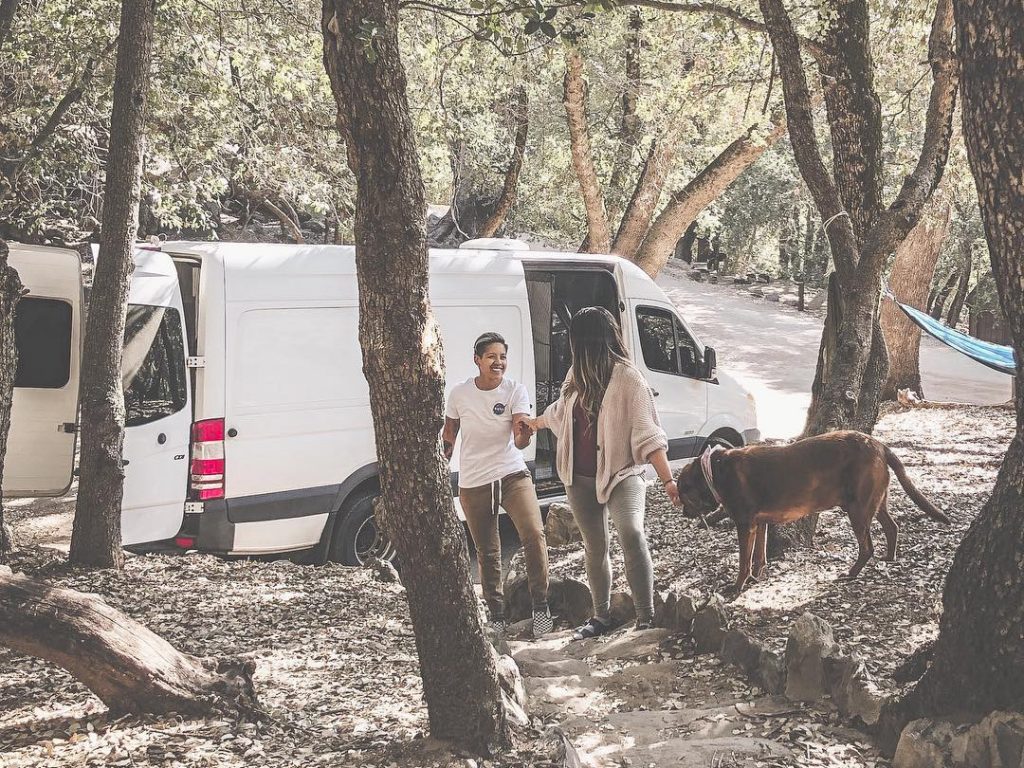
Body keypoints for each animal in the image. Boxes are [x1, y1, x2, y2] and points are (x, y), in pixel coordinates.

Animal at [671, 434, 950, 593]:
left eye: (683, 493)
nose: (683, 513)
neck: (714, 470)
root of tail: (880, 445)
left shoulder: (744, 524)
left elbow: (744, 561)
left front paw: (738, 586)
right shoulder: (759, 523)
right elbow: (759, 556)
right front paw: (756, 578)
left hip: (858, 508)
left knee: (867, 546)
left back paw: (851, 573)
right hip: (875, 501)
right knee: (892, 526)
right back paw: (889, 557)